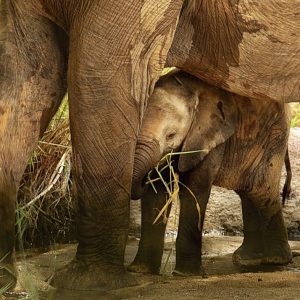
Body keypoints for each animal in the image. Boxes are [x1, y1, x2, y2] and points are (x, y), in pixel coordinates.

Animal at [129, 70, 292, 276]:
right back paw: (249, 259)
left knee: (261, 189)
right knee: (248, 191)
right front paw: (140, 270)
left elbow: (195, 188)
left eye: (171, 136)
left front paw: (185, 274)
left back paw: (275, 259)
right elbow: (157, 193)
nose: (142, 178)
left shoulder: (210, 135)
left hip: (274, 136)